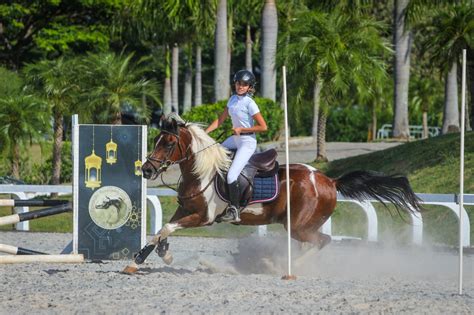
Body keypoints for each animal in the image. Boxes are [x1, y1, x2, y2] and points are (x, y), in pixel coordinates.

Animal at [122, 115, 422, 274]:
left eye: (168, 143)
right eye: (156, 140)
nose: (146, 170)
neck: (201, 172)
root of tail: (329, 180)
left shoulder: (202, 217)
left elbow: (166, 228)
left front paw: (147, 259)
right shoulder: (185, 209)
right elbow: (161, 229)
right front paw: (150, 257)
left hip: (298, 226)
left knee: (322, 241)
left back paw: (282, 268)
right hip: (299, 225)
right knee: (313, 243)